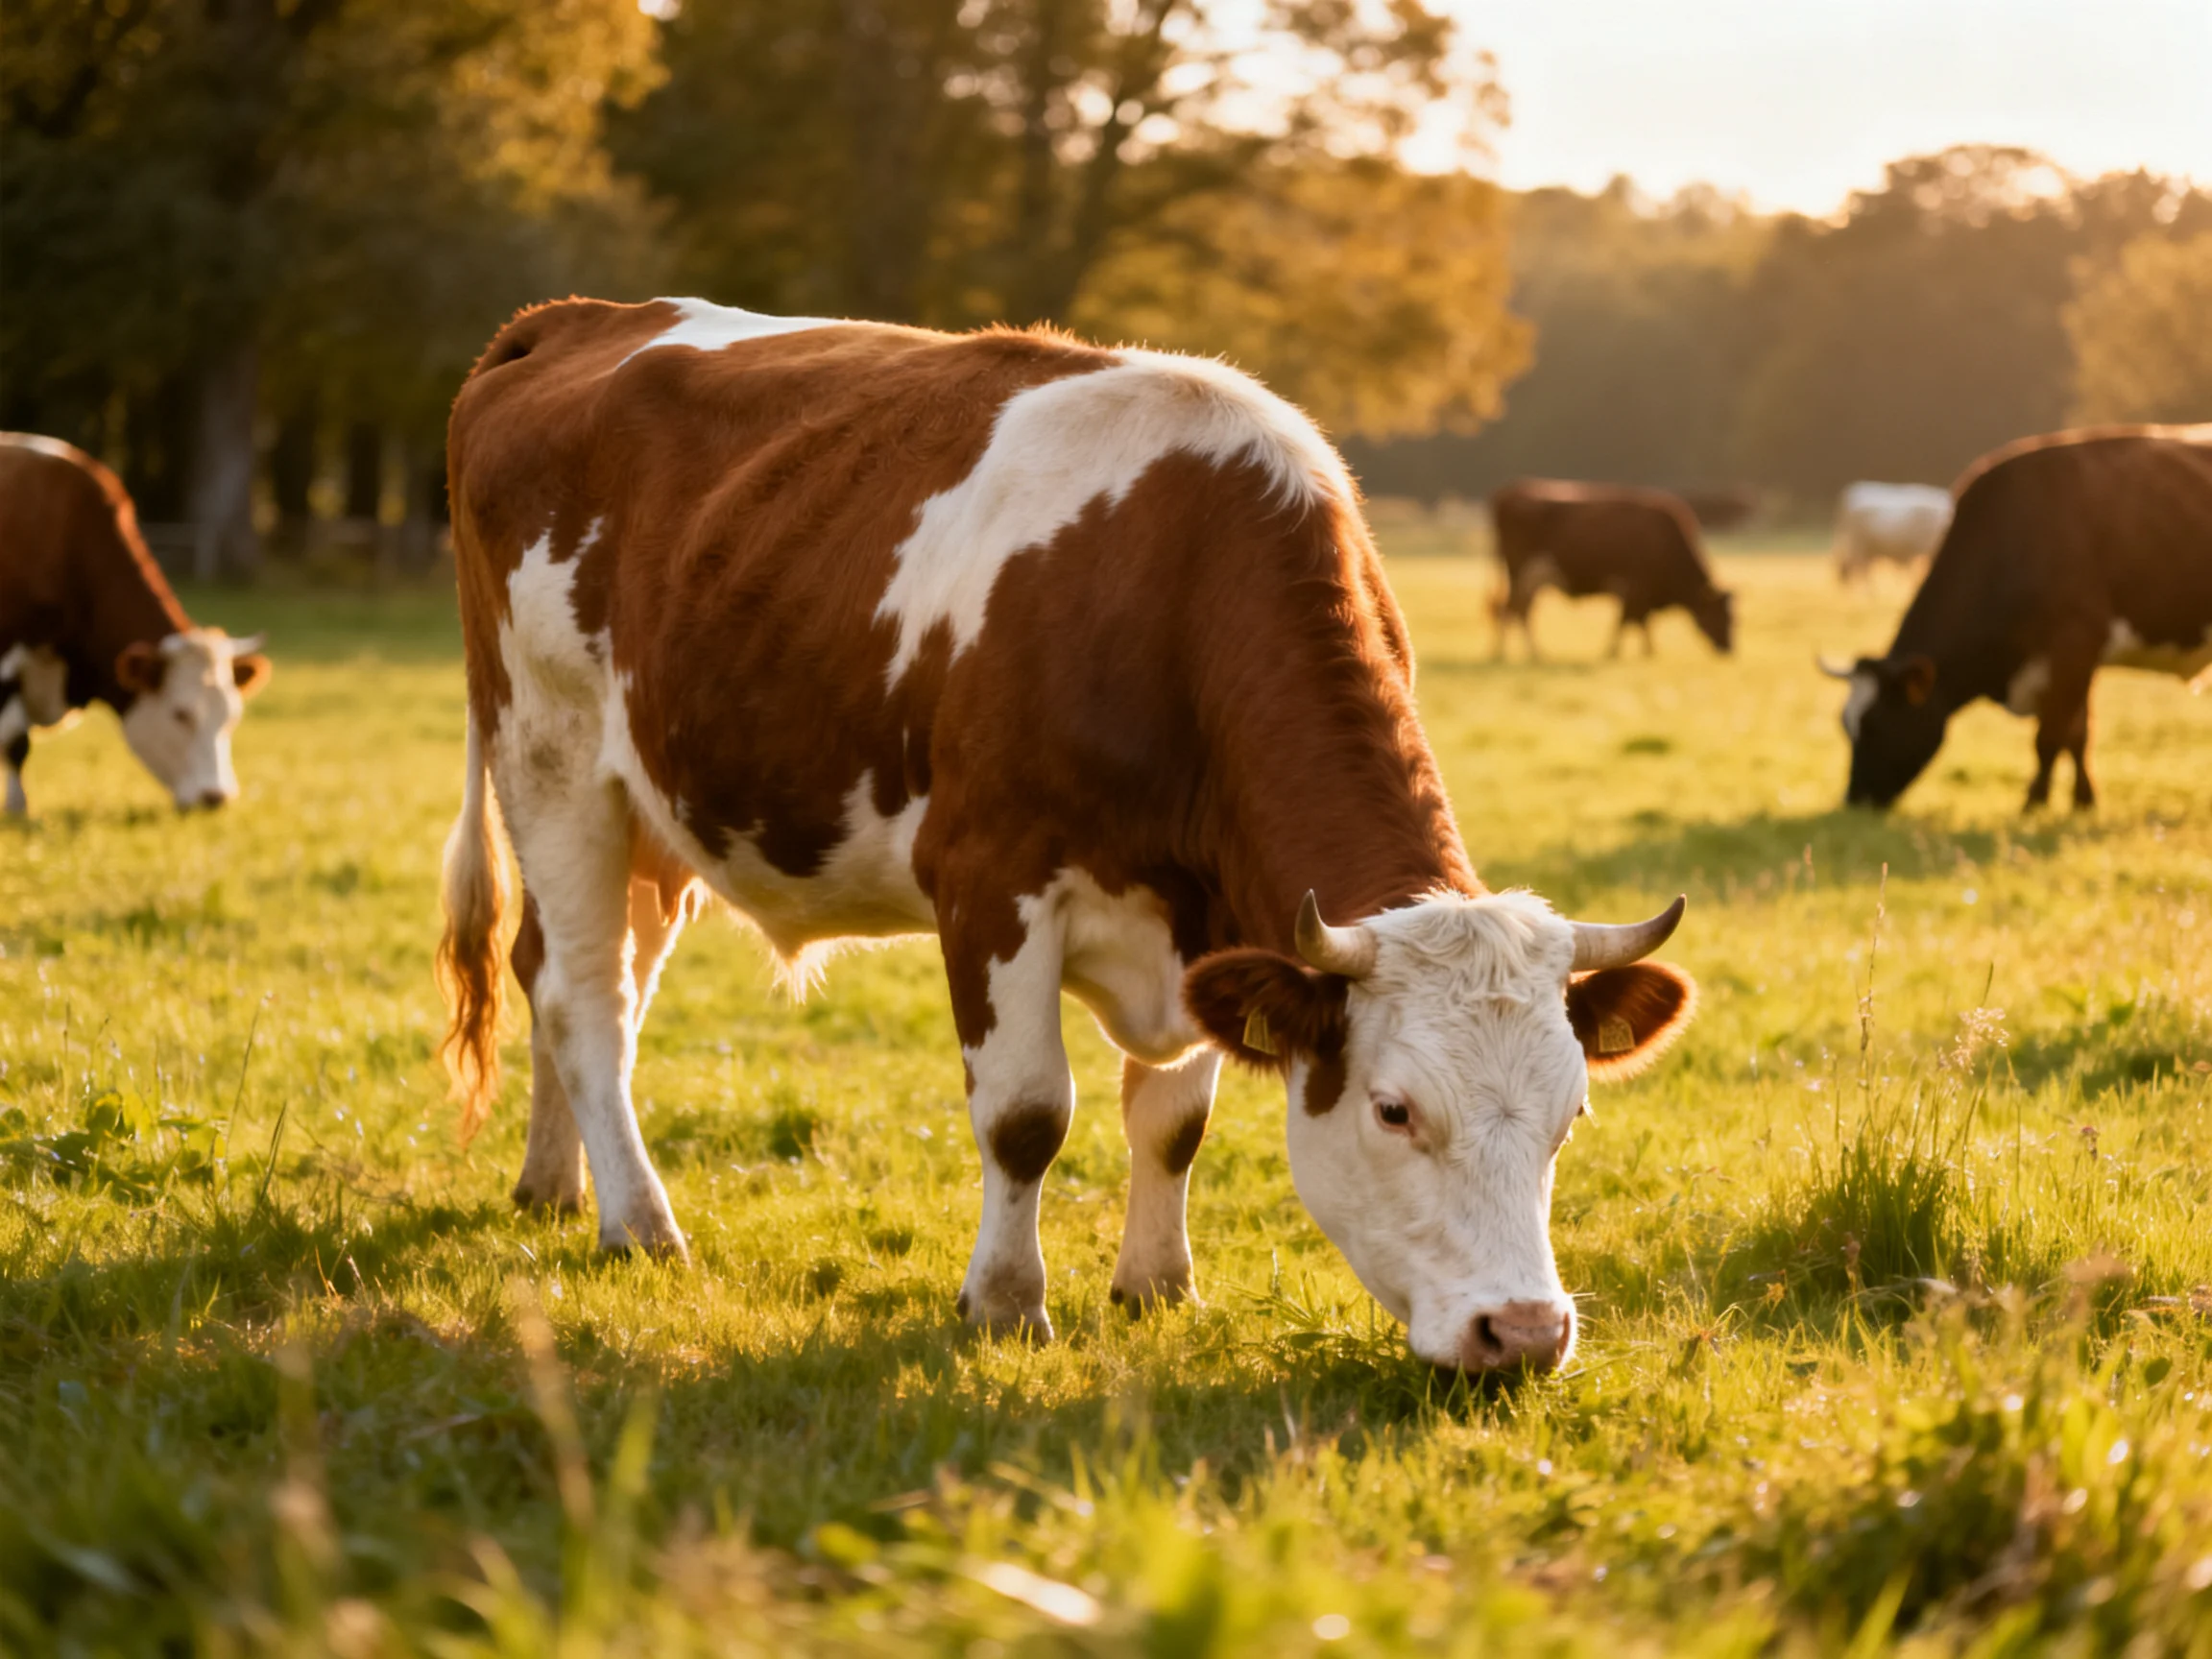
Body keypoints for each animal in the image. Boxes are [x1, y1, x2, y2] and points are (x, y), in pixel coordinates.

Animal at [436, 297, 1701, 1375]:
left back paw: (556, 1184)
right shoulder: (990, 880)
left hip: (652, 814)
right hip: (549, 758)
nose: (1524, 1333)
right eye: (1394, 1110)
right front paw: (1005, 1303)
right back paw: (641, 1222)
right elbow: (1027, 1114)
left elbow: (1176, 1121)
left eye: (1571, 1113)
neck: (1172, 595)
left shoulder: (1215, 924)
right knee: (586, 999)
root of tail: (570, 322)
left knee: (566, 973)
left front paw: (1157, 1286)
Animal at [1489, 479, 1734, 660]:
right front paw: (1617, 652)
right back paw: (1515, 653)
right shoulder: (1634, 588)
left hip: (1532, 580)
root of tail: (1509, 492)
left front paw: (1648, 652)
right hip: (1521, 575)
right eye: (1721, 615)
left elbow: (1639, 622)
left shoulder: (1637, 593)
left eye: (1734, 616)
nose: (1729, 648)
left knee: (1519, 610)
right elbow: (1626, 621)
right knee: (1513, 610)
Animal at [1823, 426, 2212, 810]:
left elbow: (2051, 736)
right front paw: (2082, 800)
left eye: (1875, 724)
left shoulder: (2075, 646)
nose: (1854, 800)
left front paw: (2034, 802)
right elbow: (2076, 733)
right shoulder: (2070, 664)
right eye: (1845, 724)